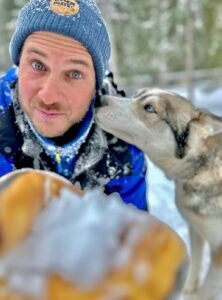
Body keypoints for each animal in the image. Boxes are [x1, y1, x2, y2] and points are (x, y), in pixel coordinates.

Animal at [96, 88, 222, 298]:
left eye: (149, 108)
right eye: (137, 94)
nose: (98, 98)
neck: (199, 170)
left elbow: (205, 291)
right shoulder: (195, 228)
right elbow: (195, 266)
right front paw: (188, 289)